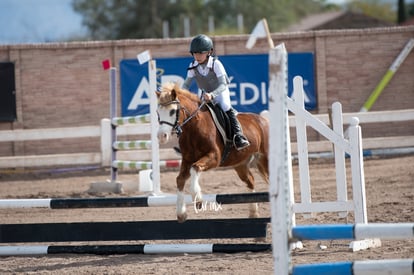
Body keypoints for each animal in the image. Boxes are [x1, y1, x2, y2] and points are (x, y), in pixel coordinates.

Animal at [155, 83, 268, 223]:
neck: (194, 127)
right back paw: (253, 213)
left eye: (172, 111)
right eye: (157, 112)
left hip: (266, 157)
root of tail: (262, 119)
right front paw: (181, 213)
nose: (161, 137)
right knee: (250, 181)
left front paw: (197, 199)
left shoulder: (214, 157)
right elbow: (180, 179)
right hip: (240, 164)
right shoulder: (187, 160)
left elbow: (195, 168)